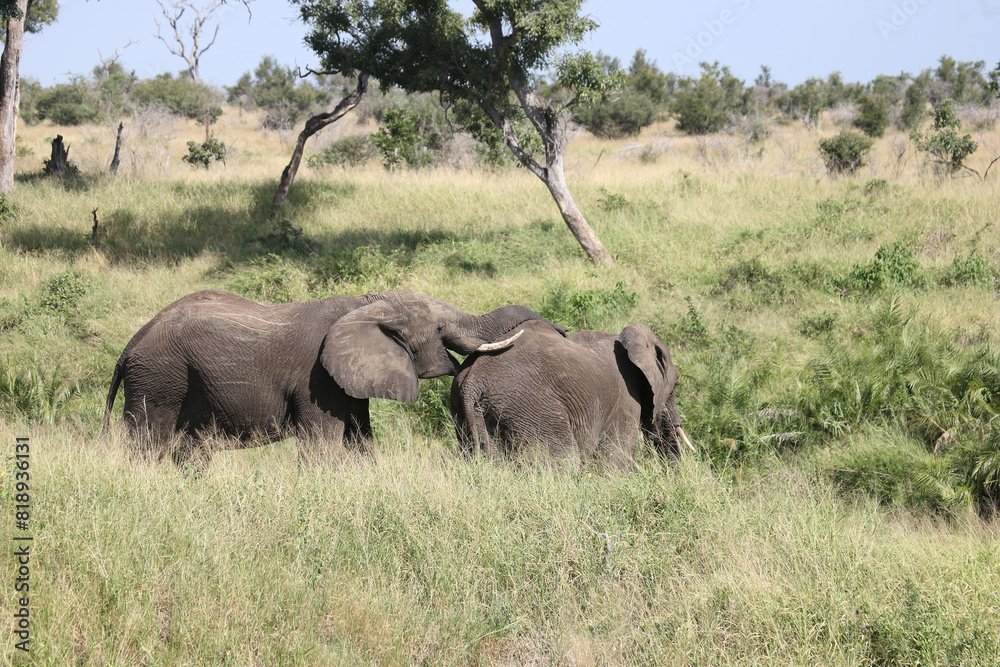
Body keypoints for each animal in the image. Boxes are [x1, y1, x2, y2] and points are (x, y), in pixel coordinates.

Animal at [105, 290, 568, 462]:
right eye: (438, 329)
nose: (563, 330)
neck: (369, 303)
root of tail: (129, 347)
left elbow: (360, 439)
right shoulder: (317, 380)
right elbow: (323, 445)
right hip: (160, 379)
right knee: (148, 442)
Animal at [450, 320, 692, 470]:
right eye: (676, 384)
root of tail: (473, 379)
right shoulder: (626, 398)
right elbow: (615, 460)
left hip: (468, 414)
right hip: (532, 409)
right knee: (564, 460)